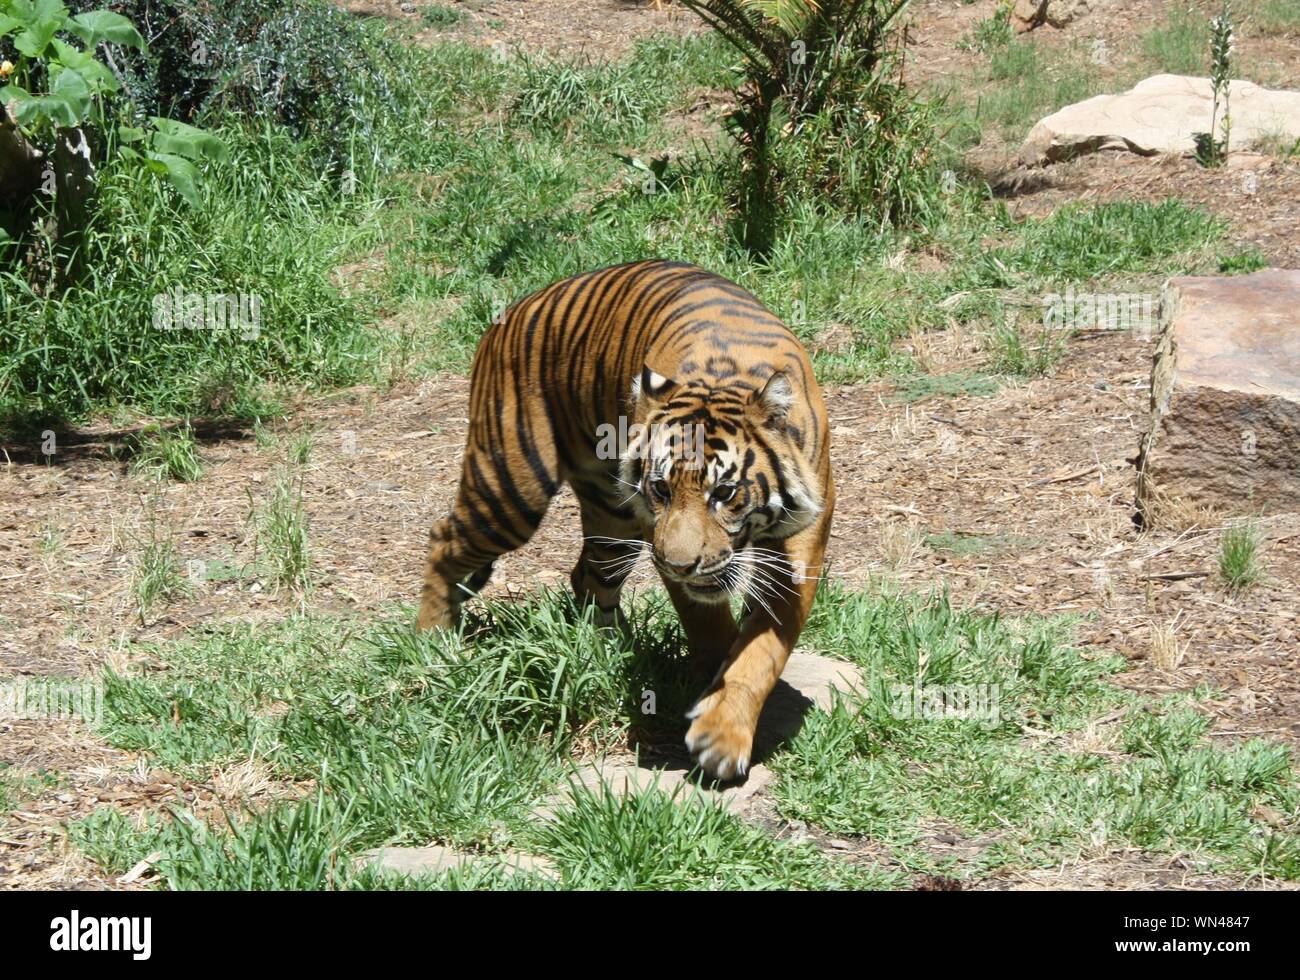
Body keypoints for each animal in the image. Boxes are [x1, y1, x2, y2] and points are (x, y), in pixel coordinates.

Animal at [421, 259, 837, 779]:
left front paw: (722, 732)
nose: (680, 564)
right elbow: (706, 620)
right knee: (444, 539)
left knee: (587, 576)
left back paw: (606, 648)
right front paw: (712, 682)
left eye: (723, 493)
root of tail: (517, 306)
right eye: (661, 488)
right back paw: (432, 642)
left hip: (611, 519)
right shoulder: (659, 535)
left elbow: (763, 648)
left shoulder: (801, 542)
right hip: (514, 487)